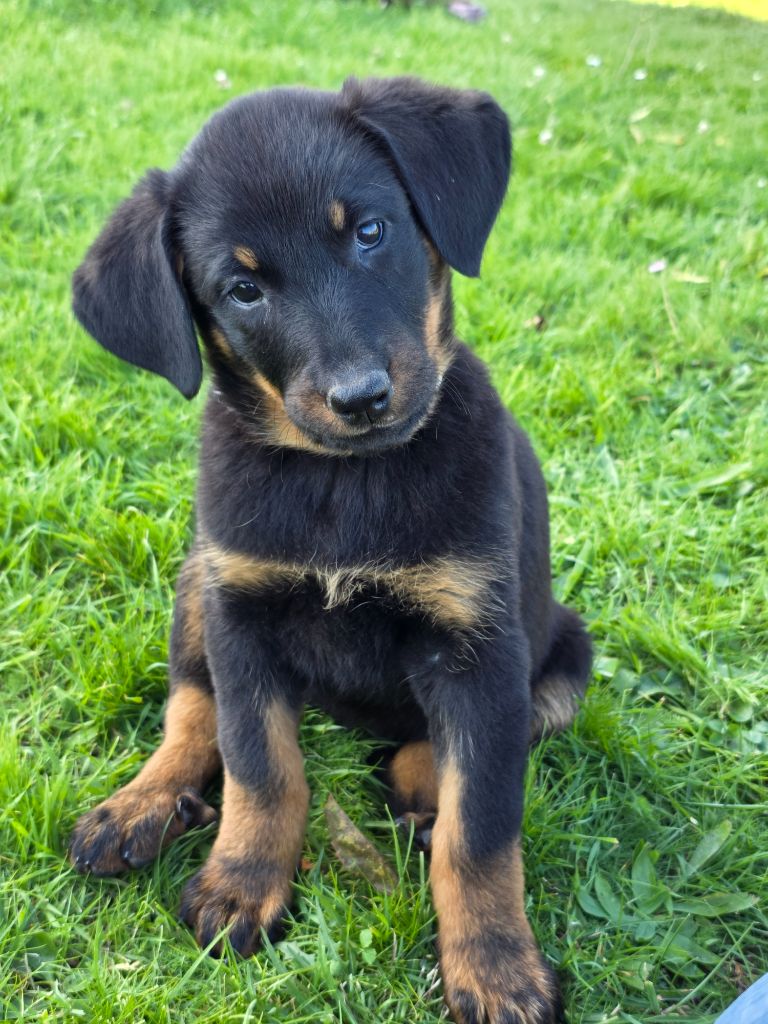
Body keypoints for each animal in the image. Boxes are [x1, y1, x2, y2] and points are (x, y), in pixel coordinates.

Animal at [69, 76, 591, 1024]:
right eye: (242, 288)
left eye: (370, 232)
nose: (361, 397)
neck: (345, 483)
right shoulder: (242, 617)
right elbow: (260, 765)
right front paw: (243, 883)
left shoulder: (480, 645)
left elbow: (482, 829)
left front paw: (495, 965)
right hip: (196, 586)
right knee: (192, 705)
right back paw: (143, 804)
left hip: (564, 649)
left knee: (474, 742)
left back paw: (421, 785)